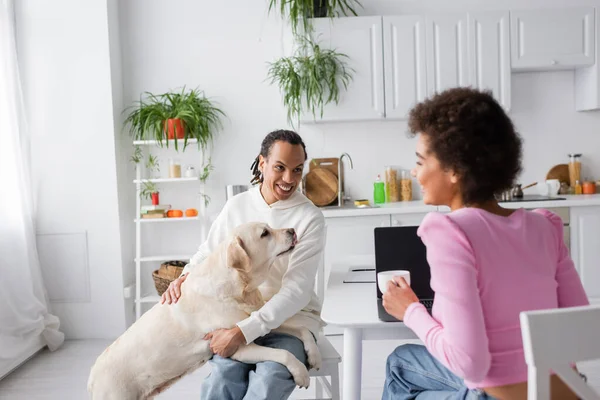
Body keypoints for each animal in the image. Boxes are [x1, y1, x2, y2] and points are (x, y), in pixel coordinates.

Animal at [87, 223, 322, 398]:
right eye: (265, 233)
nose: (292, 231)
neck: (239, 287)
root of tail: (92, 377)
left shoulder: (253, 324)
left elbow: (302, 329)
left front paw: (314, 355)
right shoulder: (237, 347)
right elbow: (283, 353)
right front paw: (301, 373)